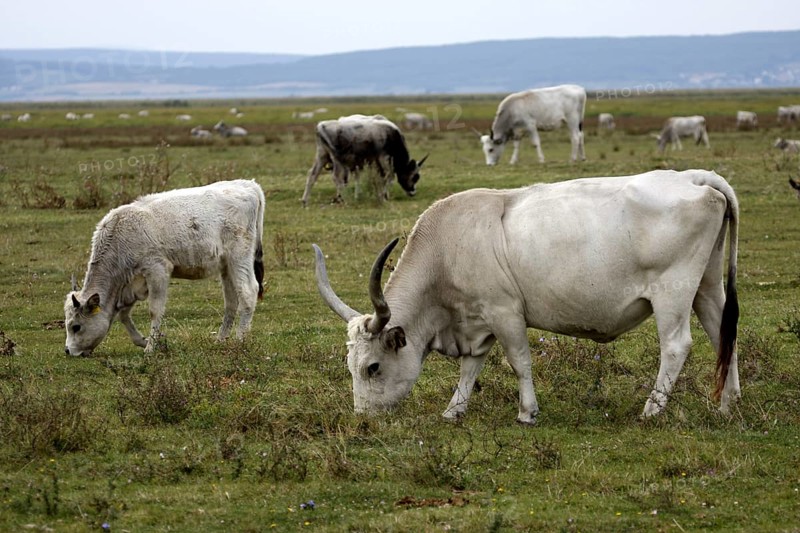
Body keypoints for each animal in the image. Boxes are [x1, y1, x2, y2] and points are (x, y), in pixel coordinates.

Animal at [64, 179, 265, 356]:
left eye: (76, 326)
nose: (67, 351)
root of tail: (248, 185)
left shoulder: (157, 270)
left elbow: (155, 310)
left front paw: (150, 347)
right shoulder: (131, 285)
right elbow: (123, 315)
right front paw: (143, 340)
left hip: (239, 257)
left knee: (248, 292)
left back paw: (240, 340)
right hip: (226, 266)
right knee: (231, 301)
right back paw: (221, 339)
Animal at [313, 169, 739, 425]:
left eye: (372, 367)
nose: (362, 417)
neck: (447, 247)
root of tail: (692, 178)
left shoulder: (504, 312)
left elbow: (519, 361)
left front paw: (527, 412)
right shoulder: (477, 320)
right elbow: (471, 367)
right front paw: (454, 410)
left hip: (672, 292)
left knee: (676, 346)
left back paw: (651, 410)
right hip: (706, 288)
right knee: (724, 335)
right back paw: (727, 404)